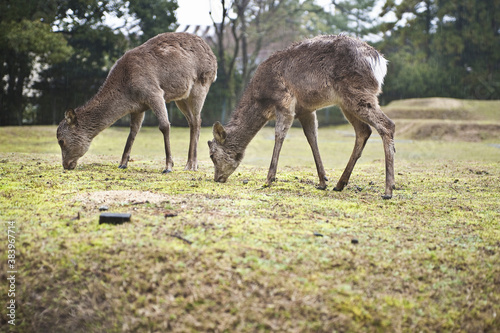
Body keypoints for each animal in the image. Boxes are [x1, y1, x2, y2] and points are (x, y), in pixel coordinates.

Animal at [56, 32, 217, 172]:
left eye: (61, 141)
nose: (66, 165)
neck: (127, 91)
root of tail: (213, 58)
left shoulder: (154, 92)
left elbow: (164, 125)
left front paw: (168, 166)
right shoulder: (138, 107)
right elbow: (133, 130)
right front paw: (122, 164)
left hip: (200, 85)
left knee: (197, 121)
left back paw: (192, 165)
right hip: (181, 97)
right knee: (192, 122)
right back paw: (190, 163)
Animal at [206, 34, 394, 197]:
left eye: (212, 155)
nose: (217, 178)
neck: (262, 101)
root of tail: (379, 60)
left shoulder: (285, 102)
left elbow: (279, 135)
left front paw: (268, 179)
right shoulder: (306, 110)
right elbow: (312, 137)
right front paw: (322, 181)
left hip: (357, 93)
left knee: (387, 125)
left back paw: (388, 190)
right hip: (346, 102)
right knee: (363, 131)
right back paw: (340, 184)